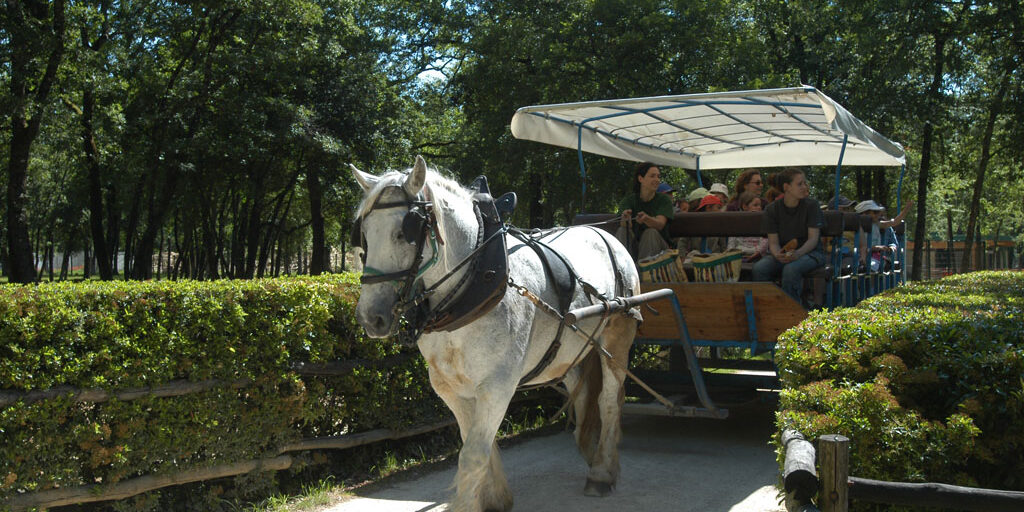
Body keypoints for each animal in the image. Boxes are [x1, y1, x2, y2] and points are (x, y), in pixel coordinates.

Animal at [350, 156, 638, 512]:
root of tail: (603, 232)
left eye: (405, 232)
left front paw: (470, 503)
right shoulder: (451, 387)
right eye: (364, 234)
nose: (370, 317)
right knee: (582, 392)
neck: (468, 290)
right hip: (570, 352)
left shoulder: (497, 386)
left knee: (609, 400)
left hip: (617, 341)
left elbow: (473, 454)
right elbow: (475, 444)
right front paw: (495, 496)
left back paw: (602, 472)